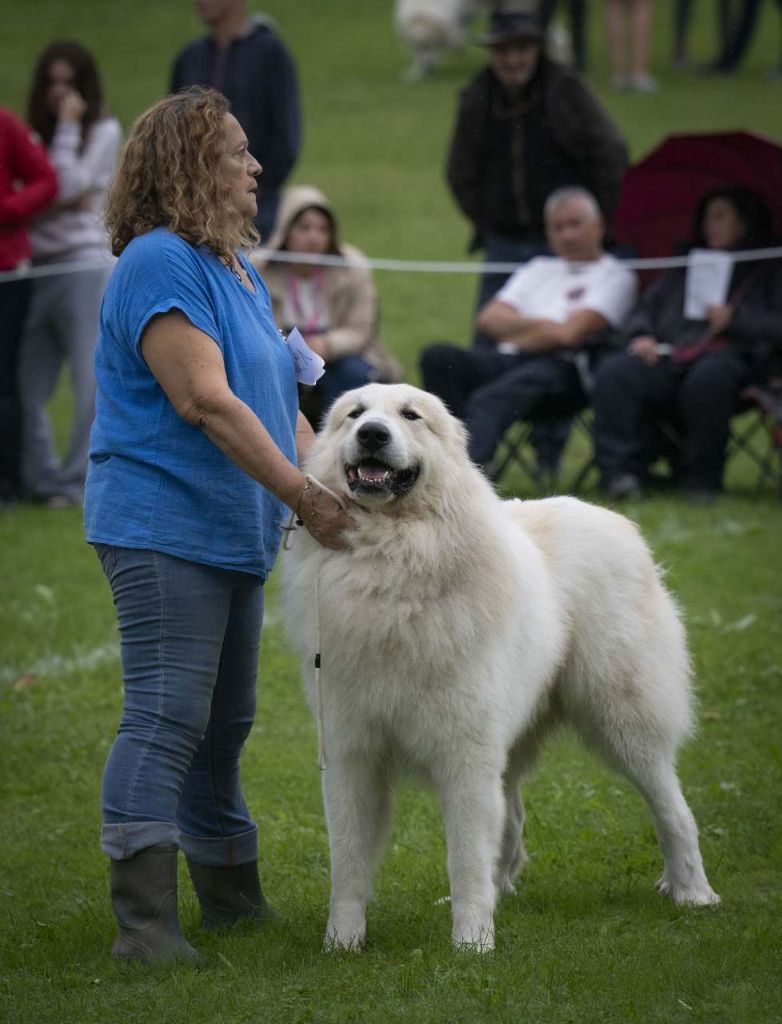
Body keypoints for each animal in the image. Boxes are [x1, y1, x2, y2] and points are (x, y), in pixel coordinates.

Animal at [281, 383, 720, 952]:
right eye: (354, 415)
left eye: (410, 416)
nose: (372, 434)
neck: (392, 560)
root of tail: (613, 519)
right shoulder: (353, 755)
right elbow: (349, 865)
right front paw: (341, 944)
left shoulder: (464, 755)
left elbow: (464, 858)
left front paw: (471, 944)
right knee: (510, 817)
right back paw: (503, 890)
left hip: (624, 720)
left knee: (672, 809)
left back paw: (692, 891)